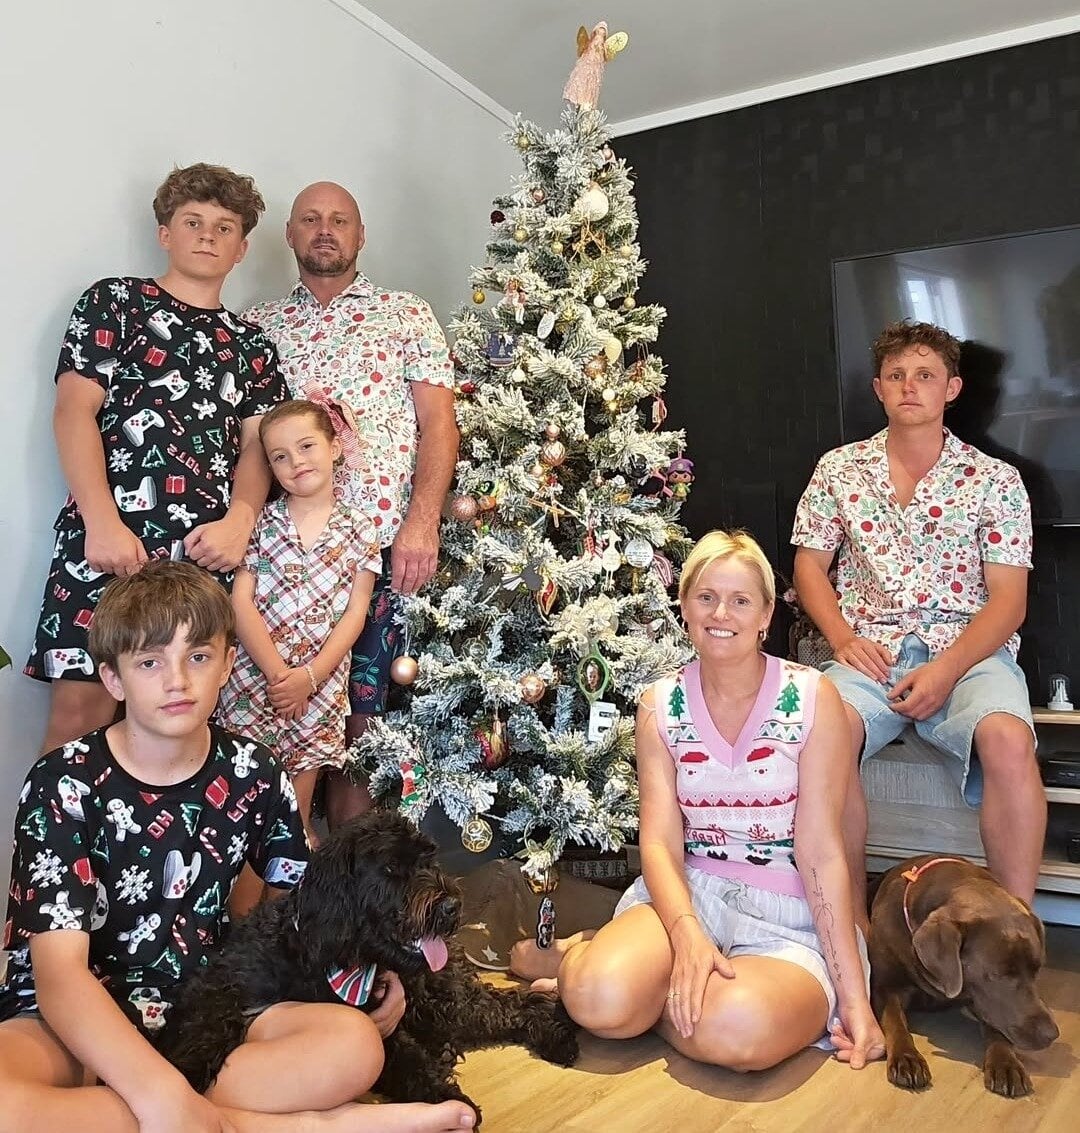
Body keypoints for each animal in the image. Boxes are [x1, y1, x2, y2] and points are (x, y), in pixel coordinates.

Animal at [160, 811, 577, 1119]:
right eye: (391, 868)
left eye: (428, 859)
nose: (451, 906)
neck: (333, 958)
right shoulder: (225, 985)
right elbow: (210, 1023)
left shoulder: (384, 1026)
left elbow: (408, 1062)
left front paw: (450, 1102)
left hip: (440, 1001)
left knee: (509, 1006)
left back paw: (557, 1033)